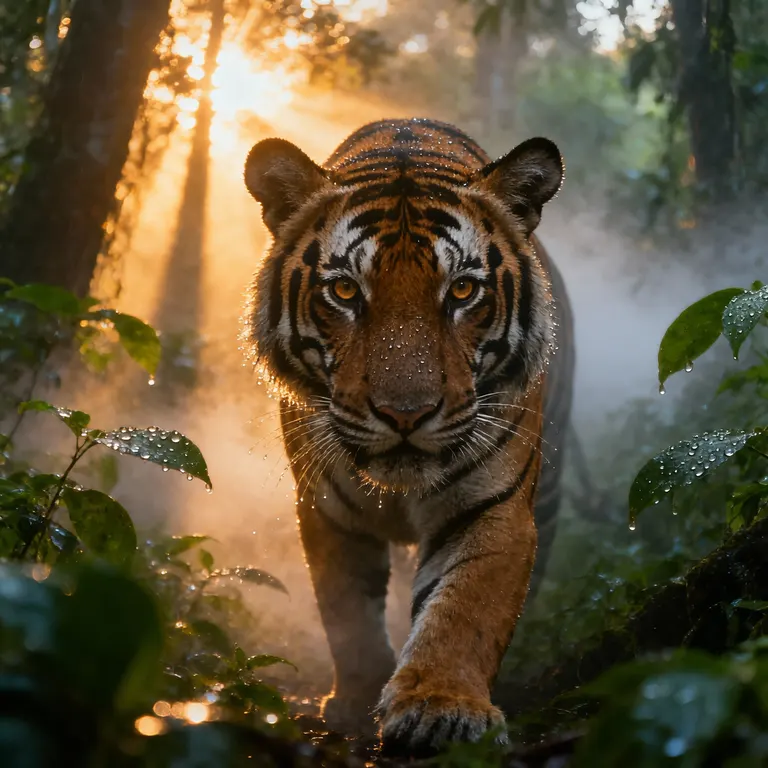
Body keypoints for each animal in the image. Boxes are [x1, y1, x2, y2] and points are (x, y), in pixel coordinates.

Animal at [242, 118, 574, 755]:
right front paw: (355, 702)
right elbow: (347, 613)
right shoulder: (327, 509)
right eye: (346, 292)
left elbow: (465, 608)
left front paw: (441, 707)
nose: (405, 414)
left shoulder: (492, 506)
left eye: (463, 292)